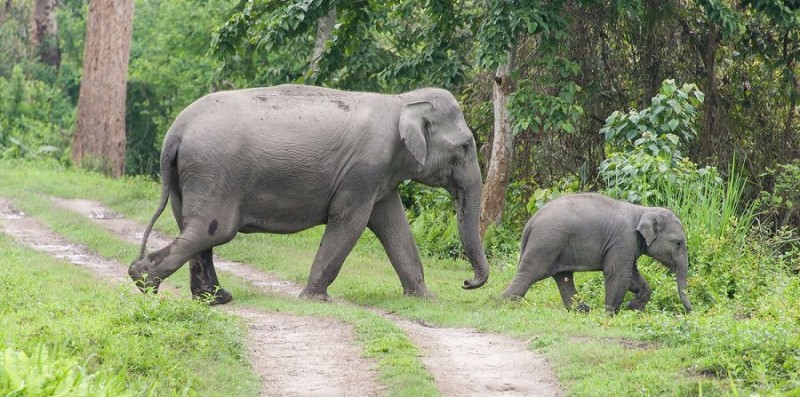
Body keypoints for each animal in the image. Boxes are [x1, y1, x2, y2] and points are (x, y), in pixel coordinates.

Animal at [129, 83, 490, 300]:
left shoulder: (379, 175)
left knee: (193, 229)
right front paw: (317, 298)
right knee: (210, 231)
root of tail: (176, 131)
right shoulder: (363, 169)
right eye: (464, 146)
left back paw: (216, 298)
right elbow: (351, 223)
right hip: (215, 172)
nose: (467, 283)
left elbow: (393, 225)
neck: (402, 100)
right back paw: (143, 281)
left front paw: (425, 298)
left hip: (191, 177)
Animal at [504, 193, 692, 312]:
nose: (689, 312)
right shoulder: (623, 239)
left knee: (564, 278)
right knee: (529, 273)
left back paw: (583, 310)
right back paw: (506, 304)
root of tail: (531, 222)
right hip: (546, 243)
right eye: (678, 243)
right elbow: (618, 273)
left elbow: (632, 275)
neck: (643, 210)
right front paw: (611, 313)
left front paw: (633, 309)